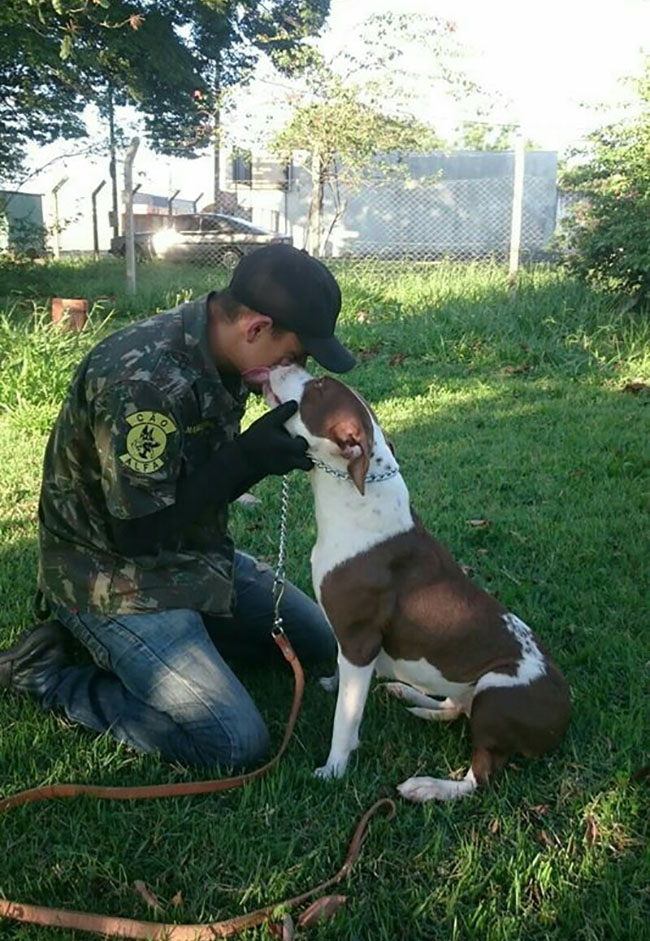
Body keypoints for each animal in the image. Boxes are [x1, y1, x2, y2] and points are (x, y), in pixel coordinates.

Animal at [262, 364, 571, 802]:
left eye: (319, 387)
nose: (284, 362)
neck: (355, 498)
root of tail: (565, 712)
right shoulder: (351, 645)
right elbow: (345, 684)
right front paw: (335, 684)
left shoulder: (359, 641)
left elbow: (345, 718)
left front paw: (333, 769)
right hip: (474, 691)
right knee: (455, 708)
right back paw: (413, 696)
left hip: (496, 690)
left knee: (479, 777)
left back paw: (428, 786)